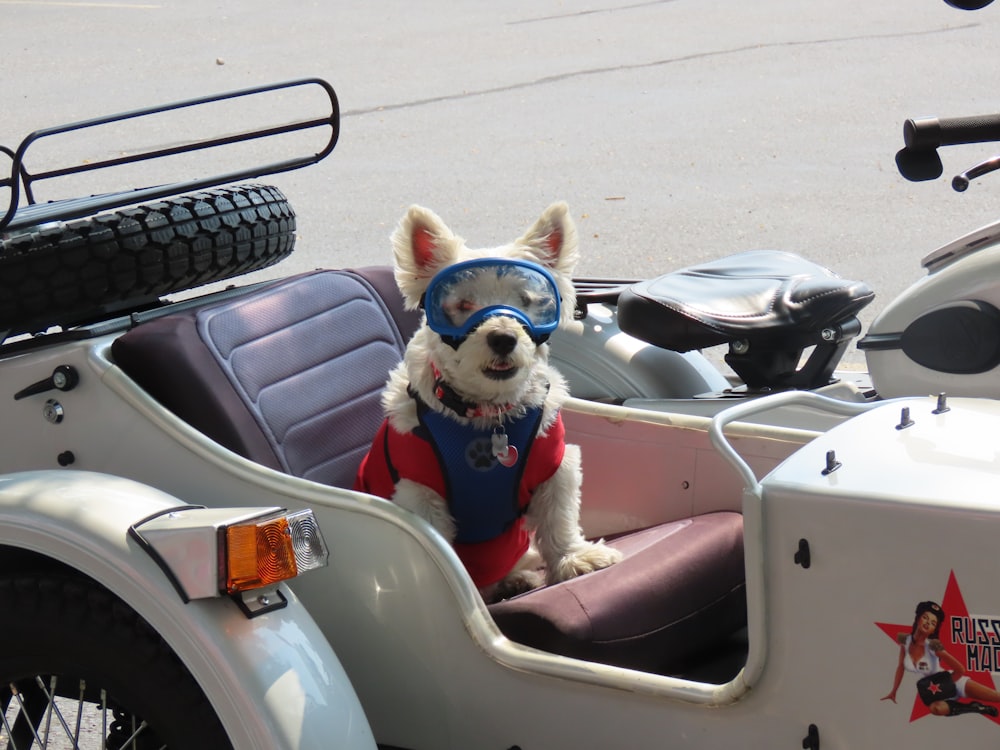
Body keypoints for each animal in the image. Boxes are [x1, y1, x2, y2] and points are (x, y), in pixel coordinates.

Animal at [356, 203, 620, 604]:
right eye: (463, 304)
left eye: (528, 301)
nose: (503, 338)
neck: (487, 413)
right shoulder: (421, 494)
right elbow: (444, 560)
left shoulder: (555, 466)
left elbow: (558, 520)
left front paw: (576, 559)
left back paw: (516, 579)